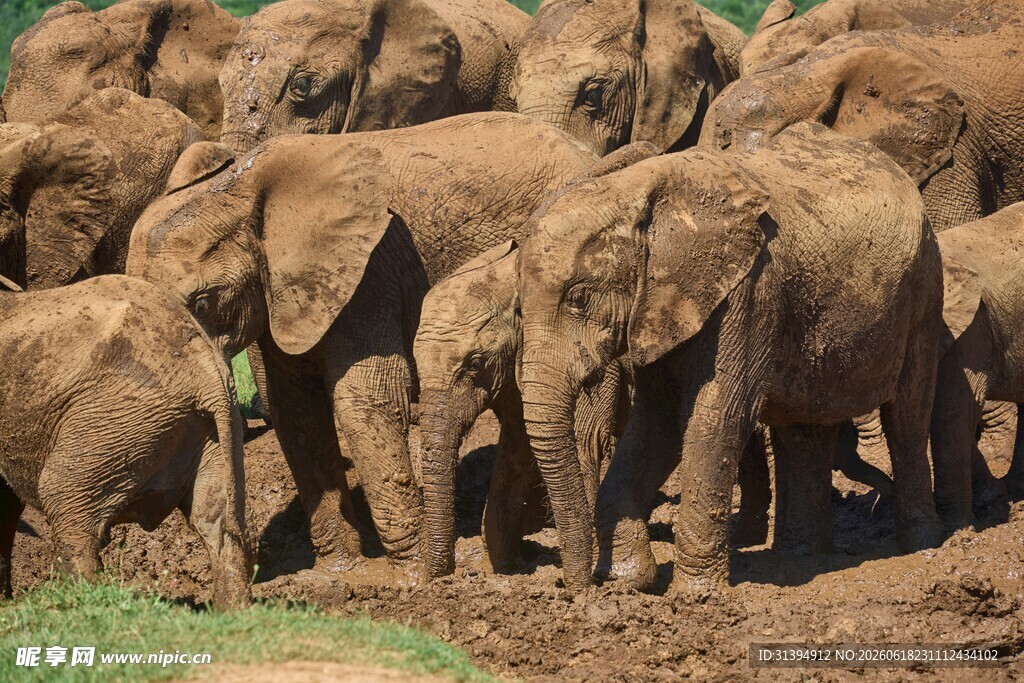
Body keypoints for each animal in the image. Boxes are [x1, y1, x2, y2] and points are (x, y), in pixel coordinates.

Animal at [0, 274, 250, 606]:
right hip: (216, 431)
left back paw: (83, 602)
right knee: (216, 523)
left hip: (115, 418)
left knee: (66, 503)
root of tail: (206, 370)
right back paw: (233, 609)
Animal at [127, 112, 596, 572]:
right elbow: (295, 409)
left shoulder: (370, 271)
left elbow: (365, 398)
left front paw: (412, 571)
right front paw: (341, 565)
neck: (237, 189)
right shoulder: (279, 294)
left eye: (203, 303)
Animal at [414, 239, 629, 577]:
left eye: (475, 364)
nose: (441, 576)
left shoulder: (590, 359)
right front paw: (506, 568)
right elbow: (516, 445)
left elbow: (584, 441)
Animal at [515, 122, 944, 594]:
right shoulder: (661, 304)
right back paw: (798, 556)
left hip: (924, 290)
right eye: (518, 307)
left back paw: (921, 543)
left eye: (578, 298)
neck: (640, 191)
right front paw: (630, 580)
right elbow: (655, 425)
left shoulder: (748, 288)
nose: (577, 590)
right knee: (805, 428)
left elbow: (717, 415)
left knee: (907, 416)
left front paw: (696, 595)